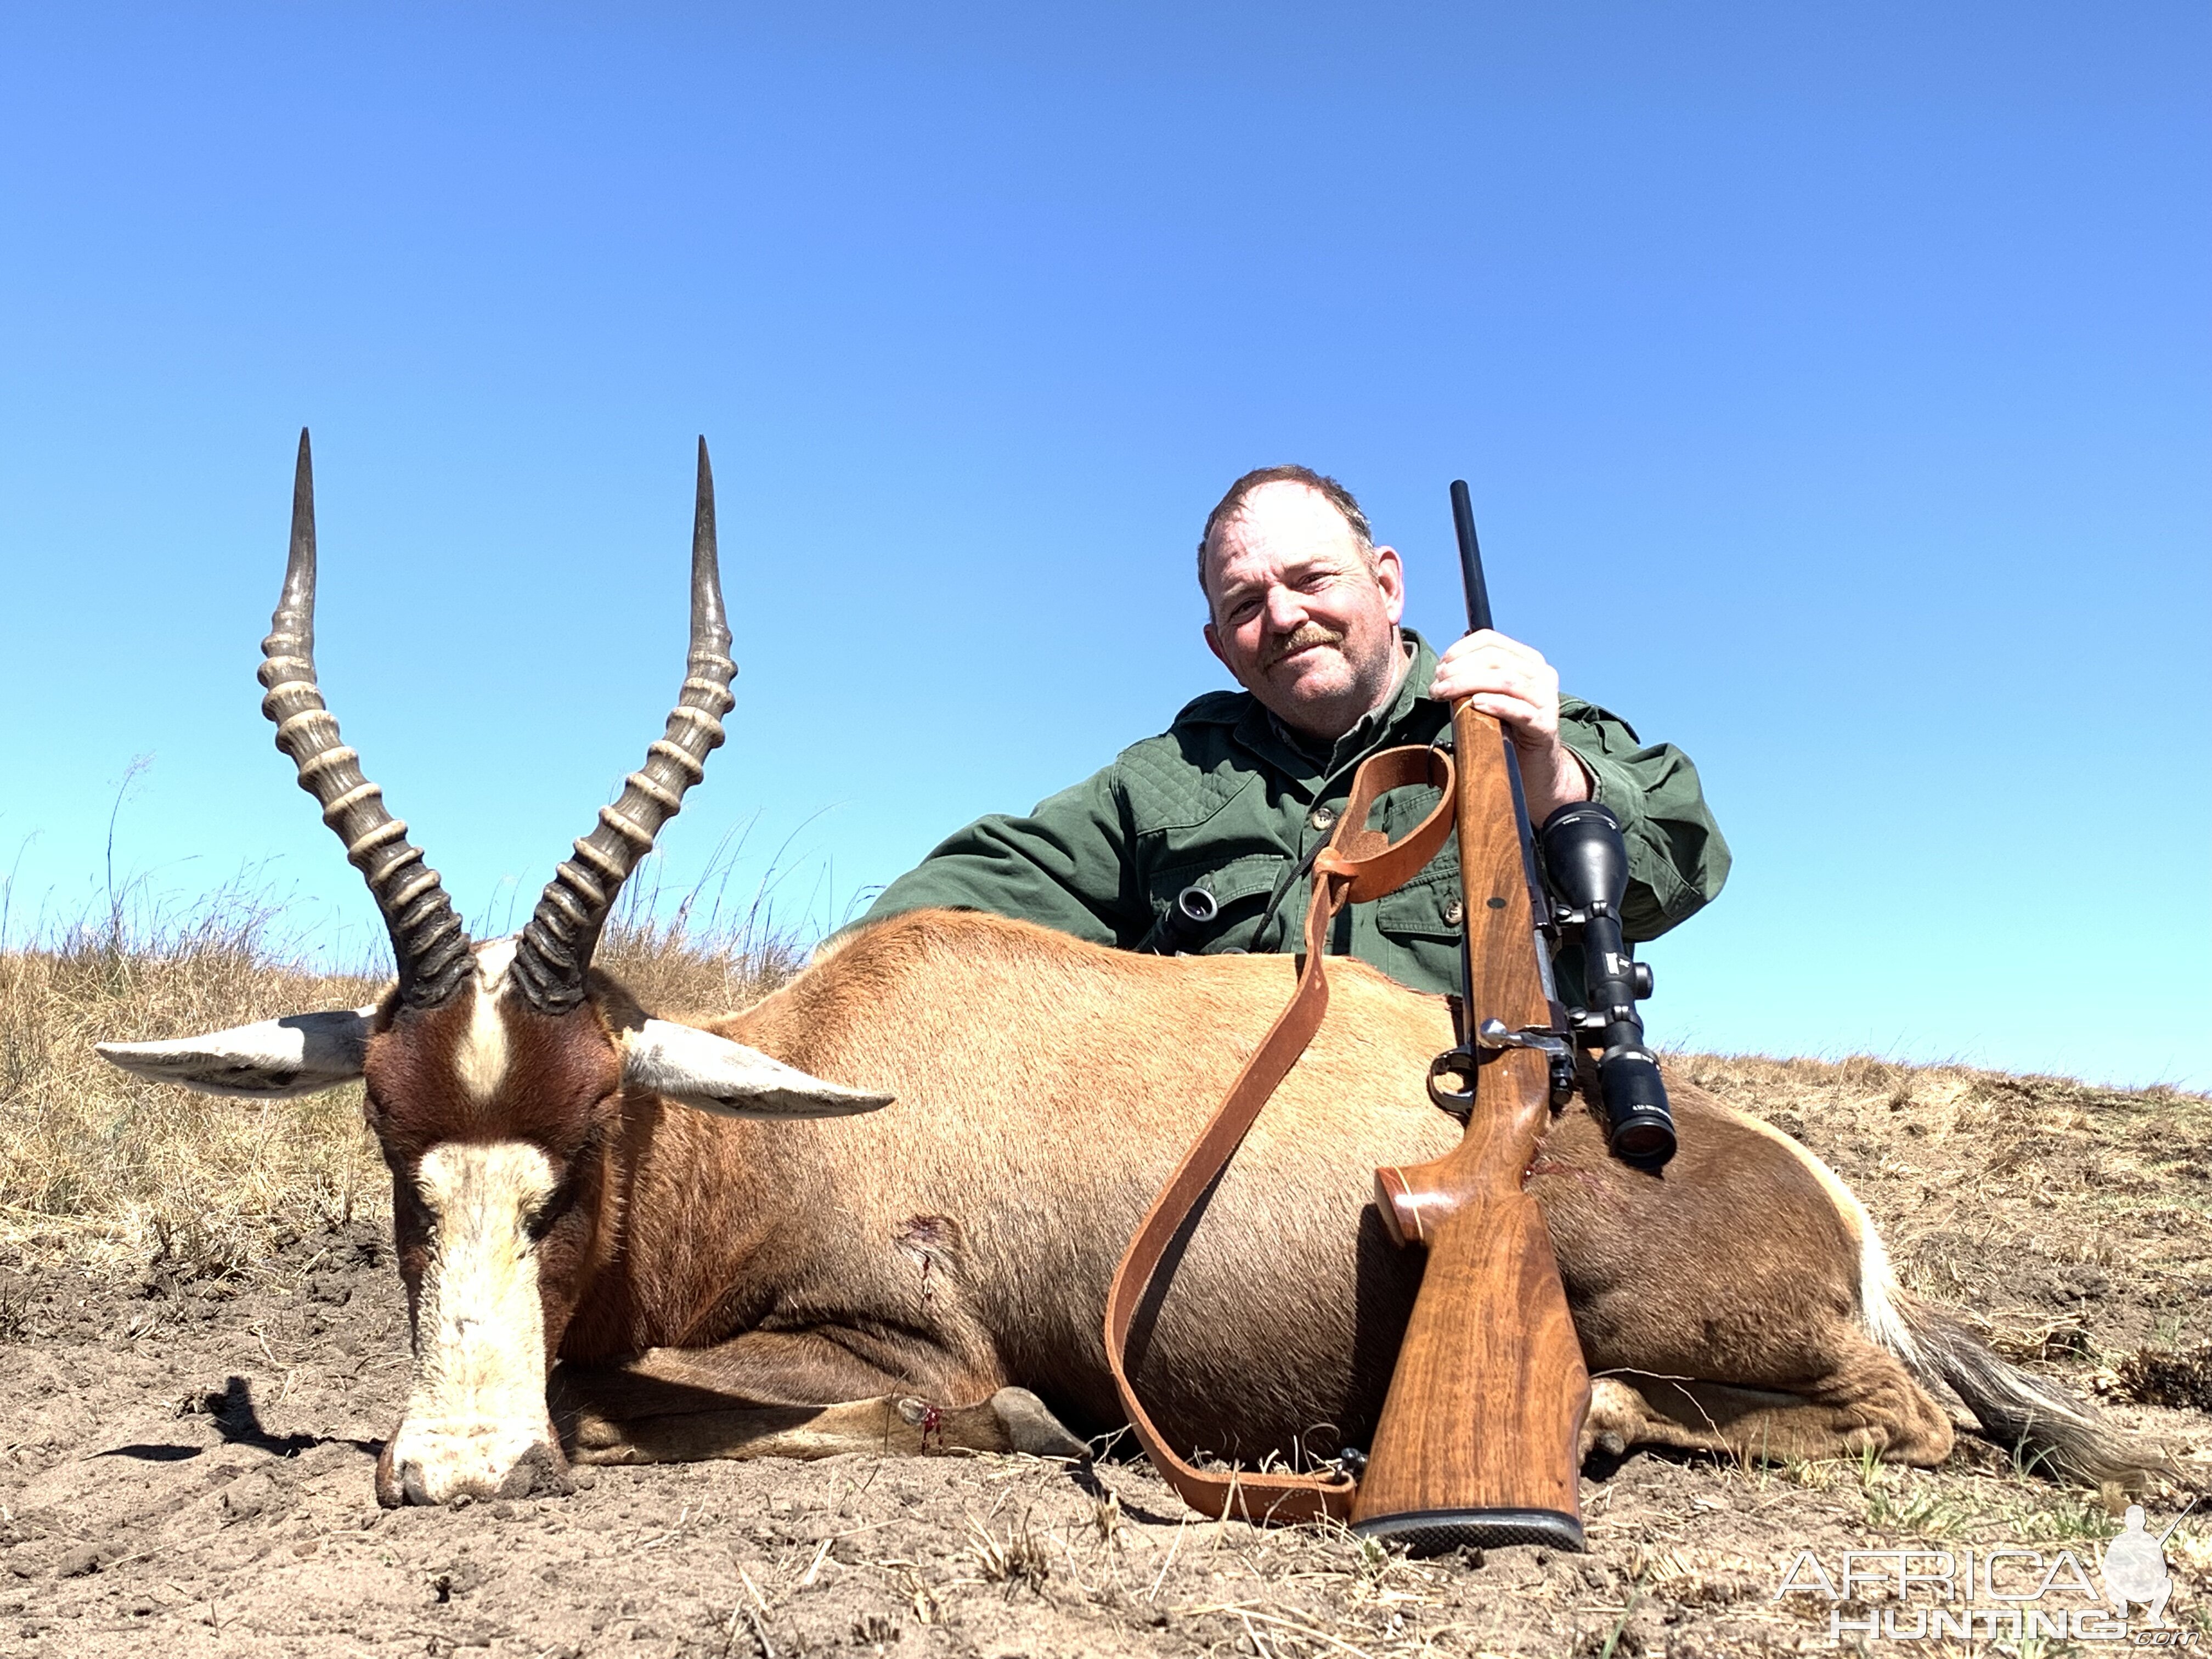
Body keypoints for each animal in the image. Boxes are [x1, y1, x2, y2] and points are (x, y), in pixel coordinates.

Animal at [99, 436, 2141, 1513]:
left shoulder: (903, 1347)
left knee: (1892, 1423)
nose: (453, 1465)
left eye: (590, 1133)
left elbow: (689, 1395)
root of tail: (1833, 1211)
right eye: (386, 1138)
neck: (802, 1091)